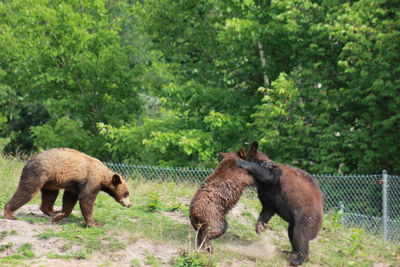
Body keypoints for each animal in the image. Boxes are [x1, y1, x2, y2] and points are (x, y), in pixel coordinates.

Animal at [3, 148, 131, 227]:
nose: (129, 204)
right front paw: (94, 223)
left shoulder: (74, 185)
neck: (103, 177)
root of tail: (29, 160)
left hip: (50, 181)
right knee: (27, 190)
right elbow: (86, 198)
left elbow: (70, 199)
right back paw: (10, 214)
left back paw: (52, 212)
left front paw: (60, 215)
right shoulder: (91, 180)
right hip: (39, 172)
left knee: (50, 195)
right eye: (126, 193)